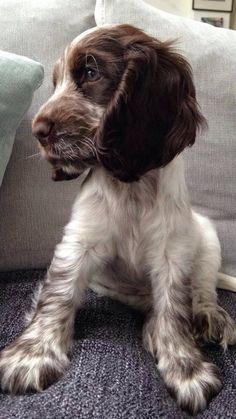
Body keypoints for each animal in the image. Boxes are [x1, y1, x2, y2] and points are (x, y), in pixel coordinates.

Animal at [0, 24, 236, 416]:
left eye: (90, 72)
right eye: (56, 82)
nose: (38, 130)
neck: (131, 186)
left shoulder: (172, 254)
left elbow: (174, 308)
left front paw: (186, 369)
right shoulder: (78, 241)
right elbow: (57, 294)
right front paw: (31, 356)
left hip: (205, 235)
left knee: (200, 291)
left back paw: (208, 317)